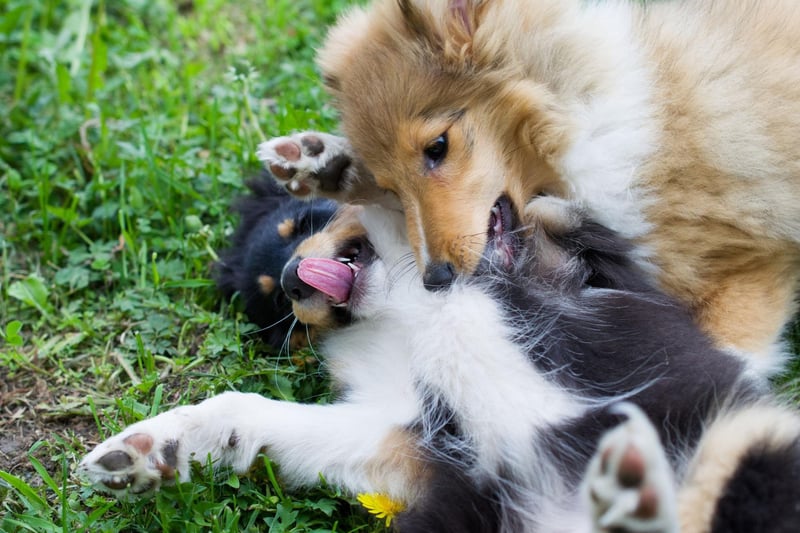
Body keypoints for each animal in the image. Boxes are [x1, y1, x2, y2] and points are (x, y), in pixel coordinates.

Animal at [79, 197, 800, 528]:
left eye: (300, 223)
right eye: (272, 307)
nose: (288, 280)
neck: (396, 312)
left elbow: (539, 223)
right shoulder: (408, 432)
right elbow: (260, 412)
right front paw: (145, 451)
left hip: (742, 438)